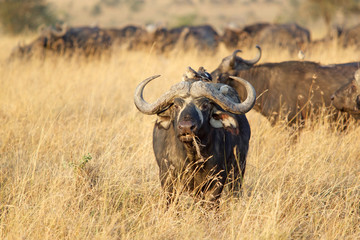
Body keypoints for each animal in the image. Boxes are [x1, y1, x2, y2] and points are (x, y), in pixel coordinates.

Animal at [134, 67, 256, 204]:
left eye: (205, 105)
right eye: (176, 105)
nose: (186, 127)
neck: (192, 156)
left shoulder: (217, 179)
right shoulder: (167, 178)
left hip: (238, 169)